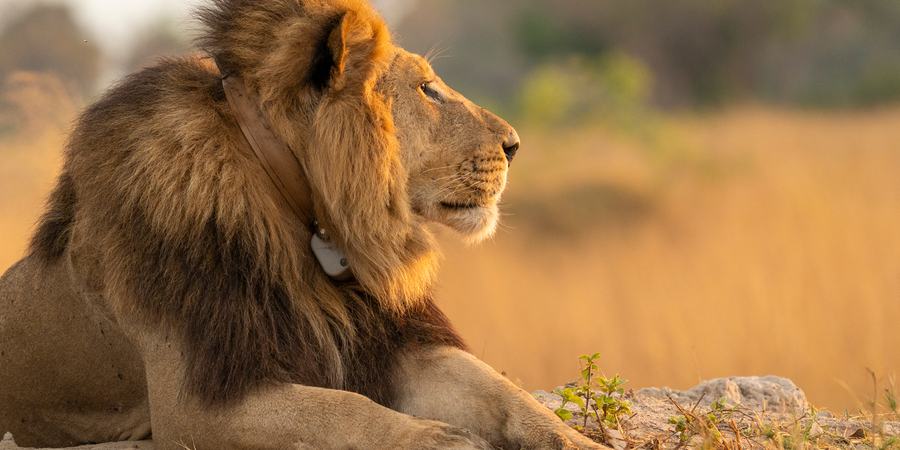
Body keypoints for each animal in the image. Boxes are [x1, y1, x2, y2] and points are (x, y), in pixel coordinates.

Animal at [0, 1, 605, 449]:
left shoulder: (390, 342)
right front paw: (441, 439)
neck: (310, 221)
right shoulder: (195, 403)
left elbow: (502, 393)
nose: (515, 145)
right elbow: (340, 410)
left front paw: (577, 440)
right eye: (428, 89)